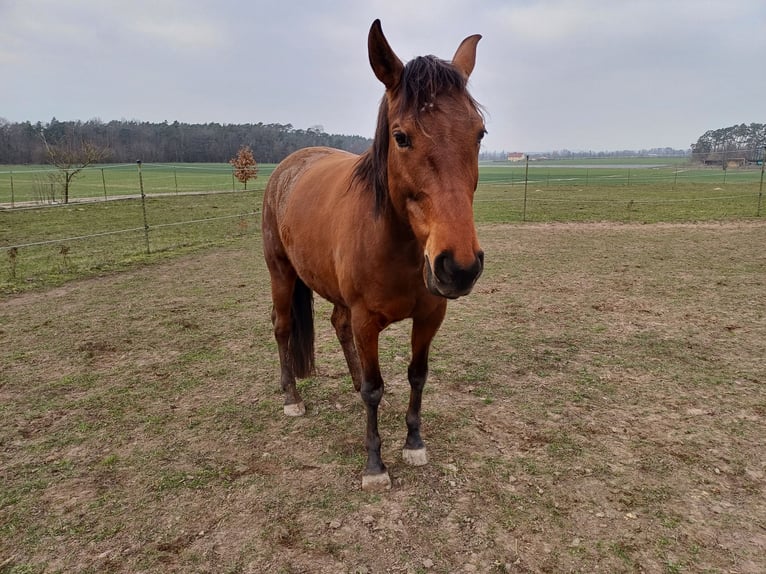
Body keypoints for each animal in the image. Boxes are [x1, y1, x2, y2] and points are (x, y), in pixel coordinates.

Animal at [260, 20, 484, 492]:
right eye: (401, 137)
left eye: (479, 134)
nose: (459, 267)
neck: (398, 246)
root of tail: (289, 164)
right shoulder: (367, 319)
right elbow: (375, 389)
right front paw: (375, 465)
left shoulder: (430, 315)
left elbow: (417, 375)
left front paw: (414, 443)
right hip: (280, 272)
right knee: (283, 327)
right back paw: (292, 397)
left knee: (338, 326)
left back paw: (349, 380)